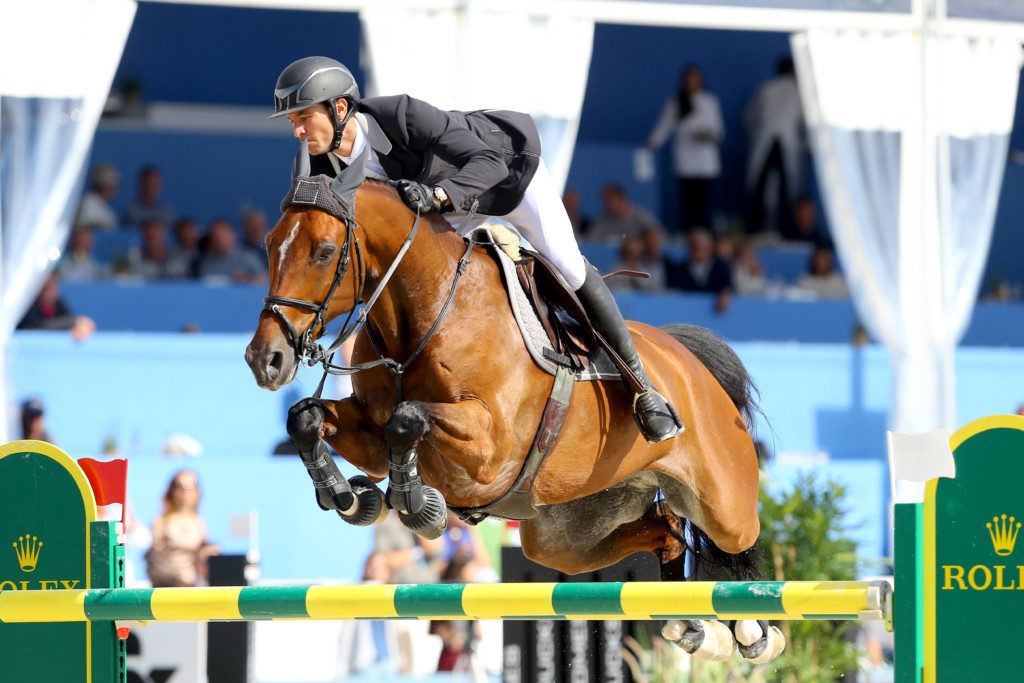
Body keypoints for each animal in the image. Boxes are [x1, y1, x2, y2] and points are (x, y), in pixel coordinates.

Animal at [245, 166, 782, 663]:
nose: (264, 359)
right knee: (665, 532)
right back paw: (691, 624)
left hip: (722, 504)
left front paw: (417, 504)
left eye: (323, 251)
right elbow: (306, 418)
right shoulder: (372, 437)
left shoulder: (490, 447)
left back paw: (752, 630)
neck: (427, 314)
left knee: (736, 545)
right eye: (270, 244)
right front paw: (351, 497)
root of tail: (687, 359)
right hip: (567, 534)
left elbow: (409, 418)